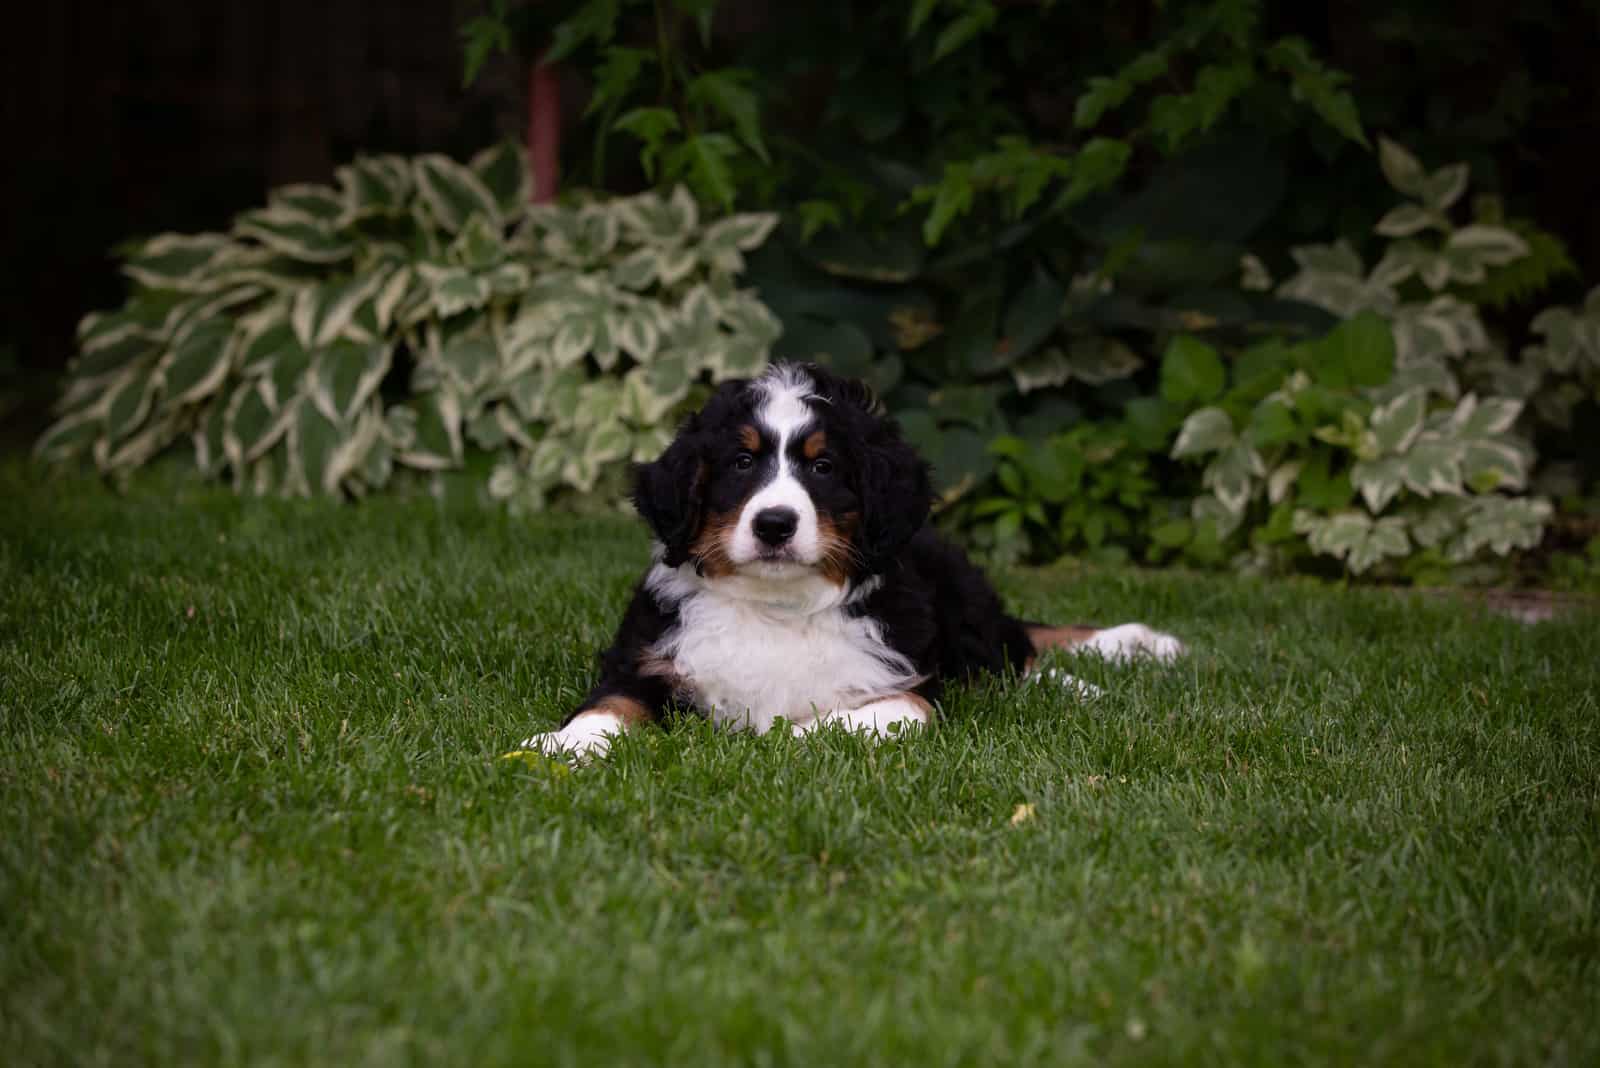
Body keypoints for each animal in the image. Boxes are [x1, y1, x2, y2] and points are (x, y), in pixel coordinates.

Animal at [518, 362, 1184, 754]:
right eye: (741, 462)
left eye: (823, 467)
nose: (775, 524)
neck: (777, 608)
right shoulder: (644, 662)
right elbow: (609, 707)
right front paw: (560, 747)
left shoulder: (907, 685)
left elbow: (861, 715)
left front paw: (781, 738)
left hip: (962, 604)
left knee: (1012, 653)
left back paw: (1094, 678)